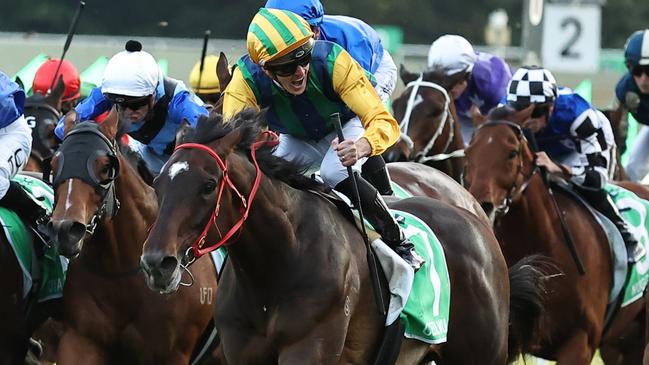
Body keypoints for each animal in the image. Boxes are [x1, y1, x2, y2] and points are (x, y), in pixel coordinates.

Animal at [46, 109, 220, 364]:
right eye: (54, 164)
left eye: (105, 167)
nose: (65, 229)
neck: (122, 271)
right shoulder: (80, 339)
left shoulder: (173, 353)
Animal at [138, 111, 548, 364]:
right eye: (157, 182)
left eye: (209, 185)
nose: (157, 263)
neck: (275, 267)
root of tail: (477, 222)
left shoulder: (310, 347)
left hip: (481, 352)